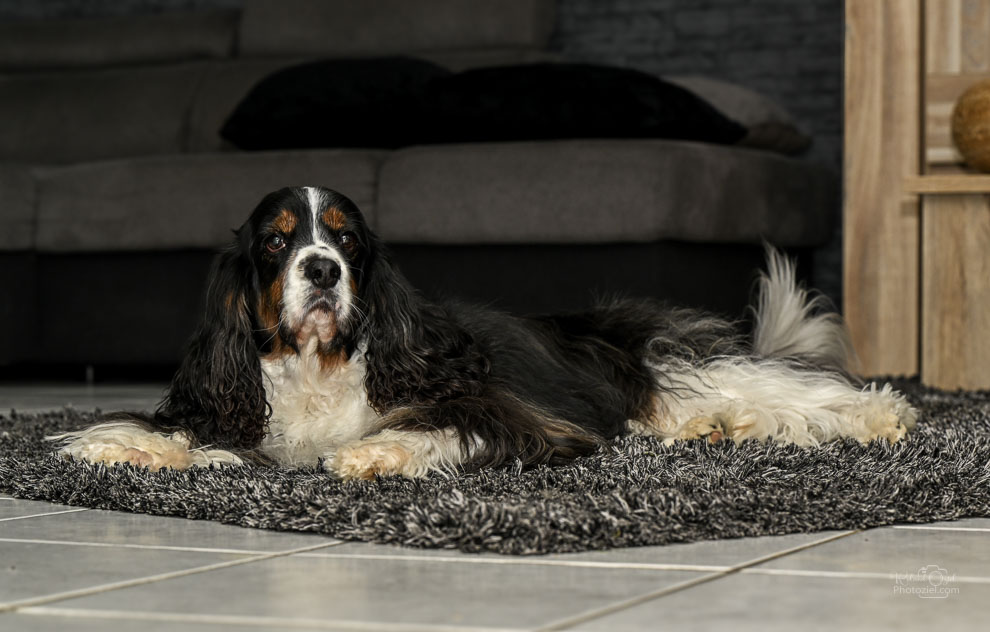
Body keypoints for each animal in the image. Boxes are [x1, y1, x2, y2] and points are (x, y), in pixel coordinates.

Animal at [56, 186, 924, 478]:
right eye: (276, 241)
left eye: (346, 239)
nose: (323, 271)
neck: (320, 366)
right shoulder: (243, 404)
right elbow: (188, 431)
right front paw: (121, 445)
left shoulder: (519, 417)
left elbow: (439, 428)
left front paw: (373, 454)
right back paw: (717, 433)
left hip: (678, 363)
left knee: (802, 391)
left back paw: (883, 415)